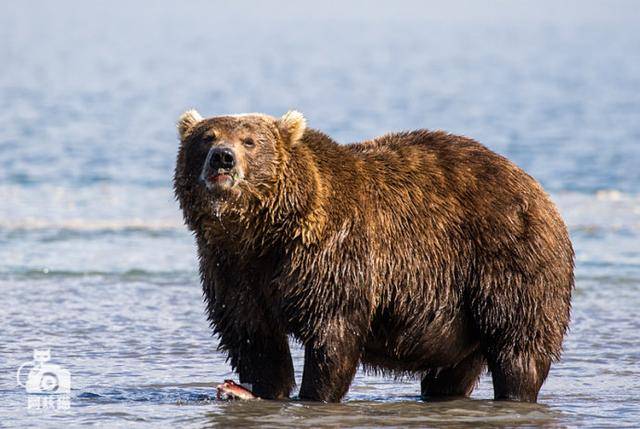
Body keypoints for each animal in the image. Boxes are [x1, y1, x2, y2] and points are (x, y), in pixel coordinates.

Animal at [172, 108, 572, 402]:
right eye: (207, 137)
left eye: (250, 141)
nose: (222, 158)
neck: (266, 232)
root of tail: (539, 191)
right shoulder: (232, 267)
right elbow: (252, 332)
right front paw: (258, 388)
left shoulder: (333, 254)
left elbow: (333, 332)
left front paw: (314, 393)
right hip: (462, 313)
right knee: (454, 369)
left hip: (506, 261)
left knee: (518, 347)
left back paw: (515, 392)